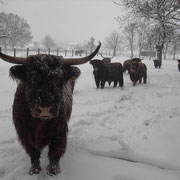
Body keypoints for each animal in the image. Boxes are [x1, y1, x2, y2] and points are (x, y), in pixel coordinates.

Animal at [0, 43, 101, 175]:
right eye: (31, 77)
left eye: (59, 78)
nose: (45, 109)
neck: (39, 123)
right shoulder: (24, 134)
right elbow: (33, 154)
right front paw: (34, 171)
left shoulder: (60, 133)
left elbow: (55, 154)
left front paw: (53, 171)